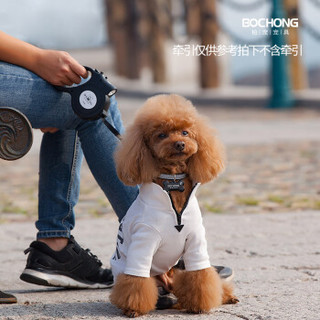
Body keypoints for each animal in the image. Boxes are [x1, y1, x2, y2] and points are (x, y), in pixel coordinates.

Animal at [110, 94, 238, 316]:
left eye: (185, 132)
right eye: (161, 135)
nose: (179, 144)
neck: (174, 182)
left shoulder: (195, 241)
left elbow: (201, 275)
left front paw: (200, 305)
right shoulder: (143, 241)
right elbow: (136, 282)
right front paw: (133, 308)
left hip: (177, 270)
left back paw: (226, 296)